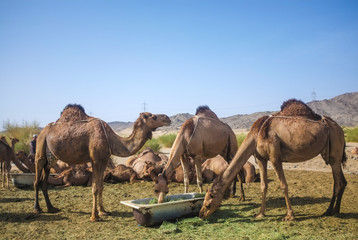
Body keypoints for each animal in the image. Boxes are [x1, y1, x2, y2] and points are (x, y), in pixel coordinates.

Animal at [33, 103, 171, 221]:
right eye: (153, 116)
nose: (167, 118)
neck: (111, 139)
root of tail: (42, 132)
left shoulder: (104, 160)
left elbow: (101, 186)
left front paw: (103, 211)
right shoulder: (96, 160)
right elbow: (94, 187)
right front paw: (94, 216)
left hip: (51, 158)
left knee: (44, 180)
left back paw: (51, 208)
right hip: (40, 150)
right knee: (36, 180)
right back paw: (37, 209)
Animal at [199, 99, 346, 221]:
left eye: (208, 204)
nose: (201, 215)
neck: (255, 135)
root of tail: (339, 128)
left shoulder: (275, 157)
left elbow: (283, 185)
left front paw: (290, 216)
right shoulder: (261, 159)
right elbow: (263, 185)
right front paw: (260, 213)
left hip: (335, 149)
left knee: (337, 183)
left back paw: (329, 211)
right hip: (332, 156)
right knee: (342, 182)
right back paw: (336, 210)